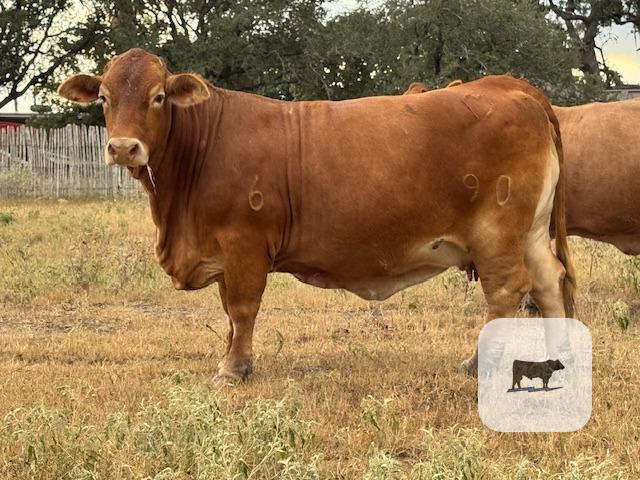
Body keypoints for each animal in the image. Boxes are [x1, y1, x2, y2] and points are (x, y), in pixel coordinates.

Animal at [58, 48, 575, 385]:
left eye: (159, 97)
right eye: (104, 98)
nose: (123, 148)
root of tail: (509, 85)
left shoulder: (243, 245)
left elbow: (241, 309)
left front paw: (233, 369)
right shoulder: (225, 253)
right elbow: (229, 314)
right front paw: (231, 359)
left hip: (497, 233)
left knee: (507, 291)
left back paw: (478, 363)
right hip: (530, 232)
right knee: (549, 282)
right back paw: (558, 355)